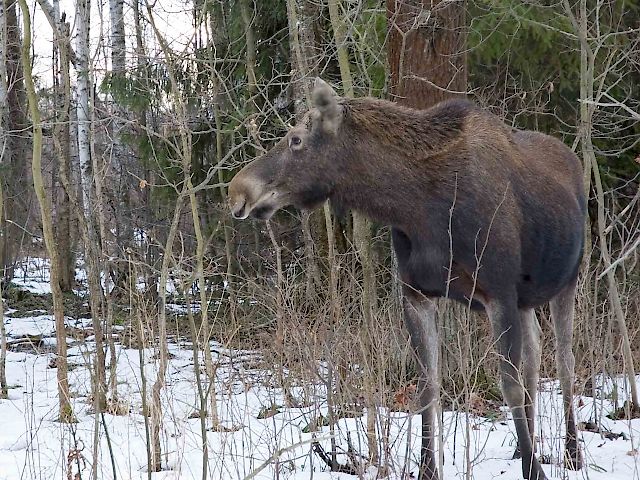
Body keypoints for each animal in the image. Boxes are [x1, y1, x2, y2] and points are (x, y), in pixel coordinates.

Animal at [229, 79, 584, 480]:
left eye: (296, 139)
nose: (237, 190)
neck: (418, 210)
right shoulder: (417, 294)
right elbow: (428, 387)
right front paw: (429, 468)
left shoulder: (499, 293)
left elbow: (508, 385)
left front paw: (534, 470)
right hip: (526, 299)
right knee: (535, 358)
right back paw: (525, 447)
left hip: (568, 280)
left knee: (566, 362)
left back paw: (572, 452)